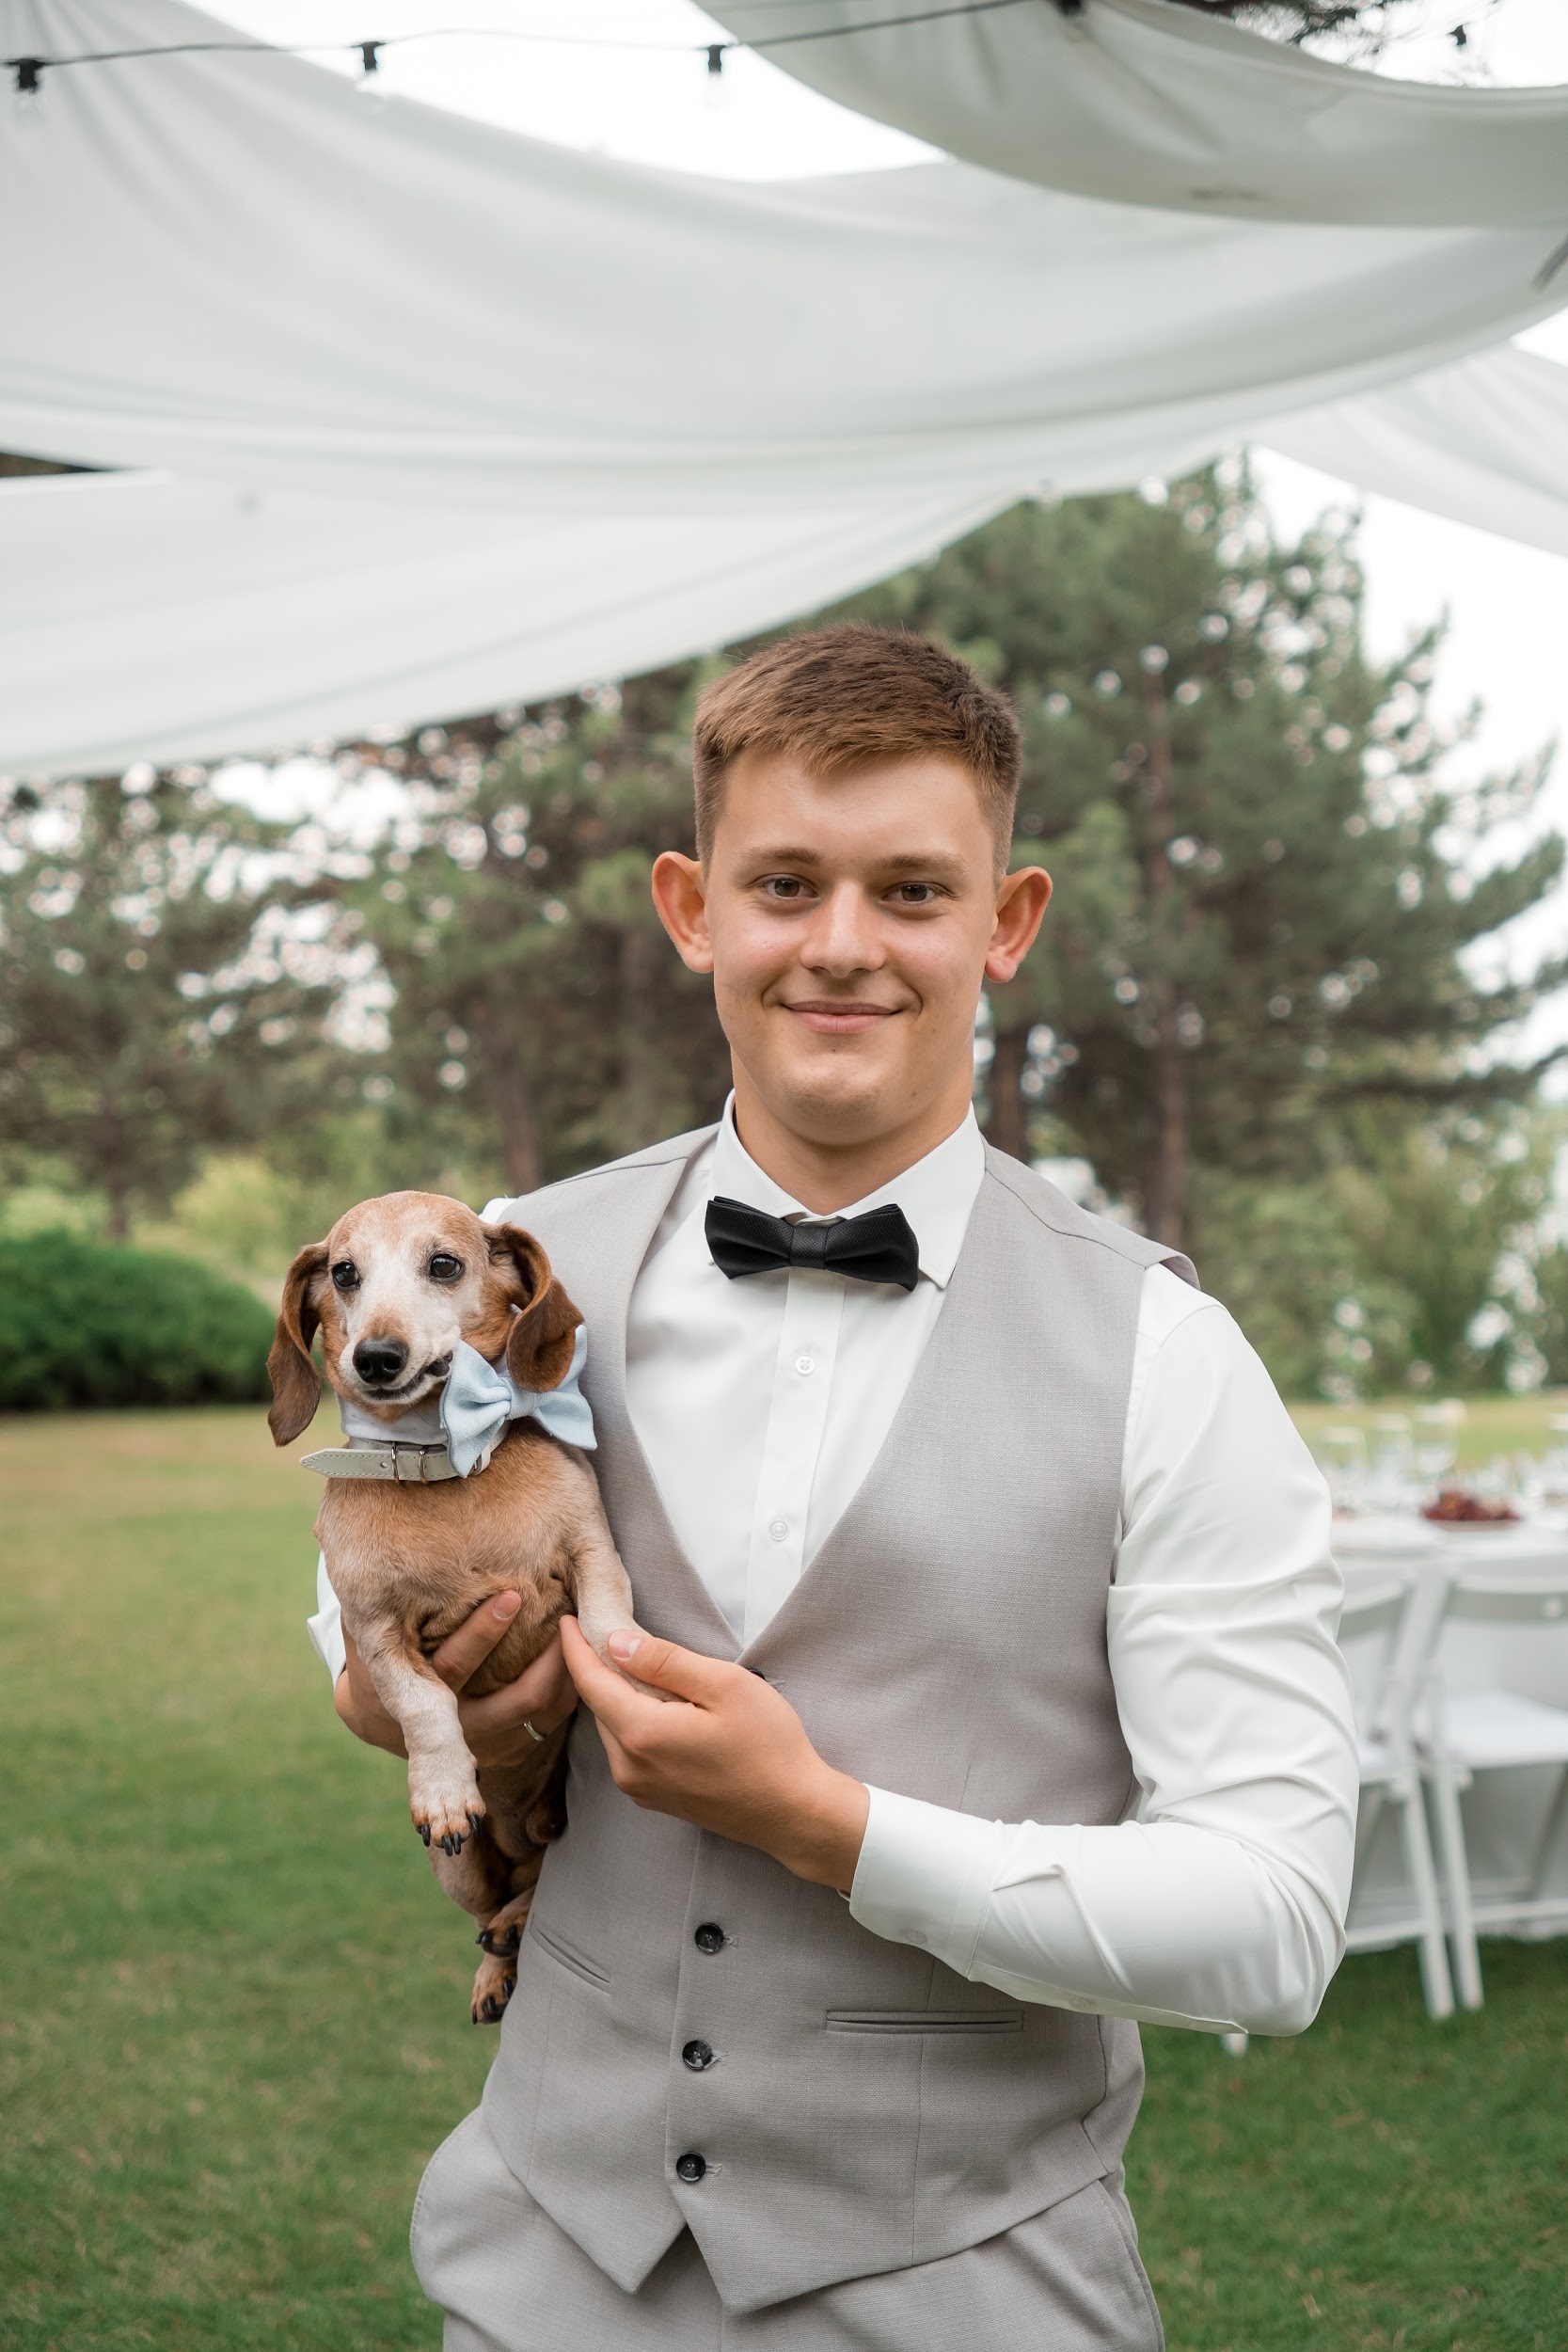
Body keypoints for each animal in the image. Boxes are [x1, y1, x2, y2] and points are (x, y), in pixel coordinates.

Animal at [266, 1191, 638, 2024]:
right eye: (344, 1273)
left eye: (443, 1264)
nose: (375, 1357)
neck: (445, 1464)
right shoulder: (374, 1631)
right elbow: (425, 1704)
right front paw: (442, 1787)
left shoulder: (593, 1553)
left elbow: (607, 1627)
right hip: (459, 1874)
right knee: (492, 1905)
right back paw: (498, 1957)